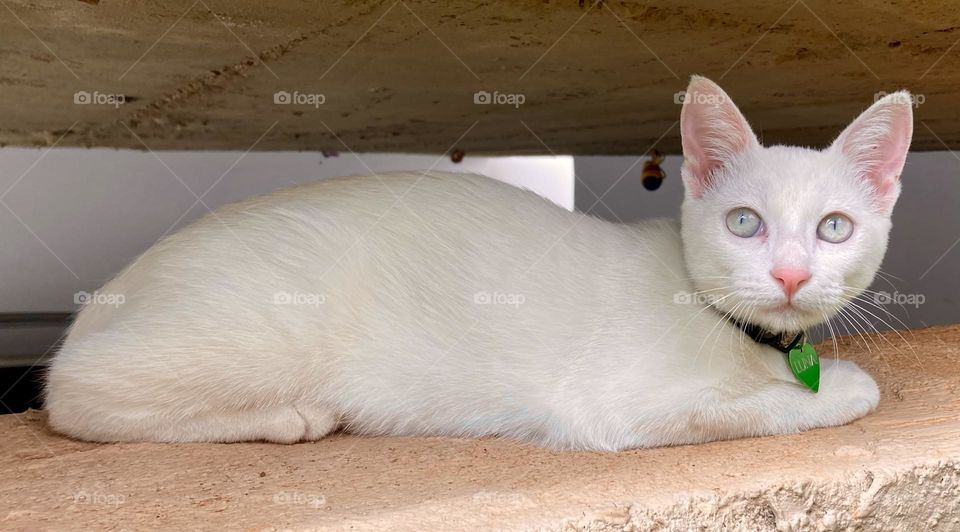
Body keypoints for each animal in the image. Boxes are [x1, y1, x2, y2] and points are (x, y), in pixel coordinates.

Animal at [45, 76, 912, 448]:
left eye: (834, 228)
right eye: (744, 223)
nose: (791, 275)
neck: (737, 335)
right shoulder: (612, 408)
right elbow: (757, 407)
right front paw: (841, 387)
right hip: (254, 332)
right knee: (74, 396)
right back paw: (288, 417)